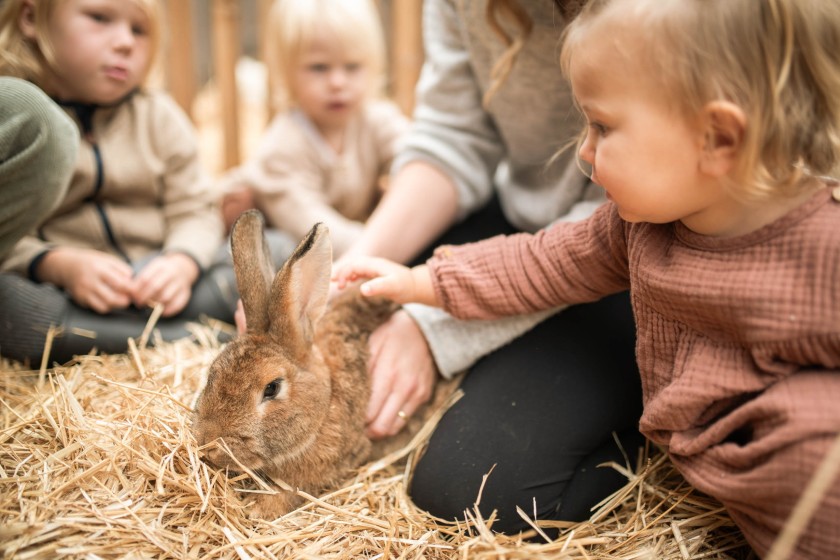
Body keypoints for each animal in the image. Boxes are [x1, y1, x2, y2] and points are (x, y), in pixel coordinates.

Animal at [192, 210, 458, 518]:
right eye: (213, 372)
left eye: (272, 388)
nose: (208, 442)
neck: (325, 400)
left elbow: (288, 494)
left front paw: (257, 510)